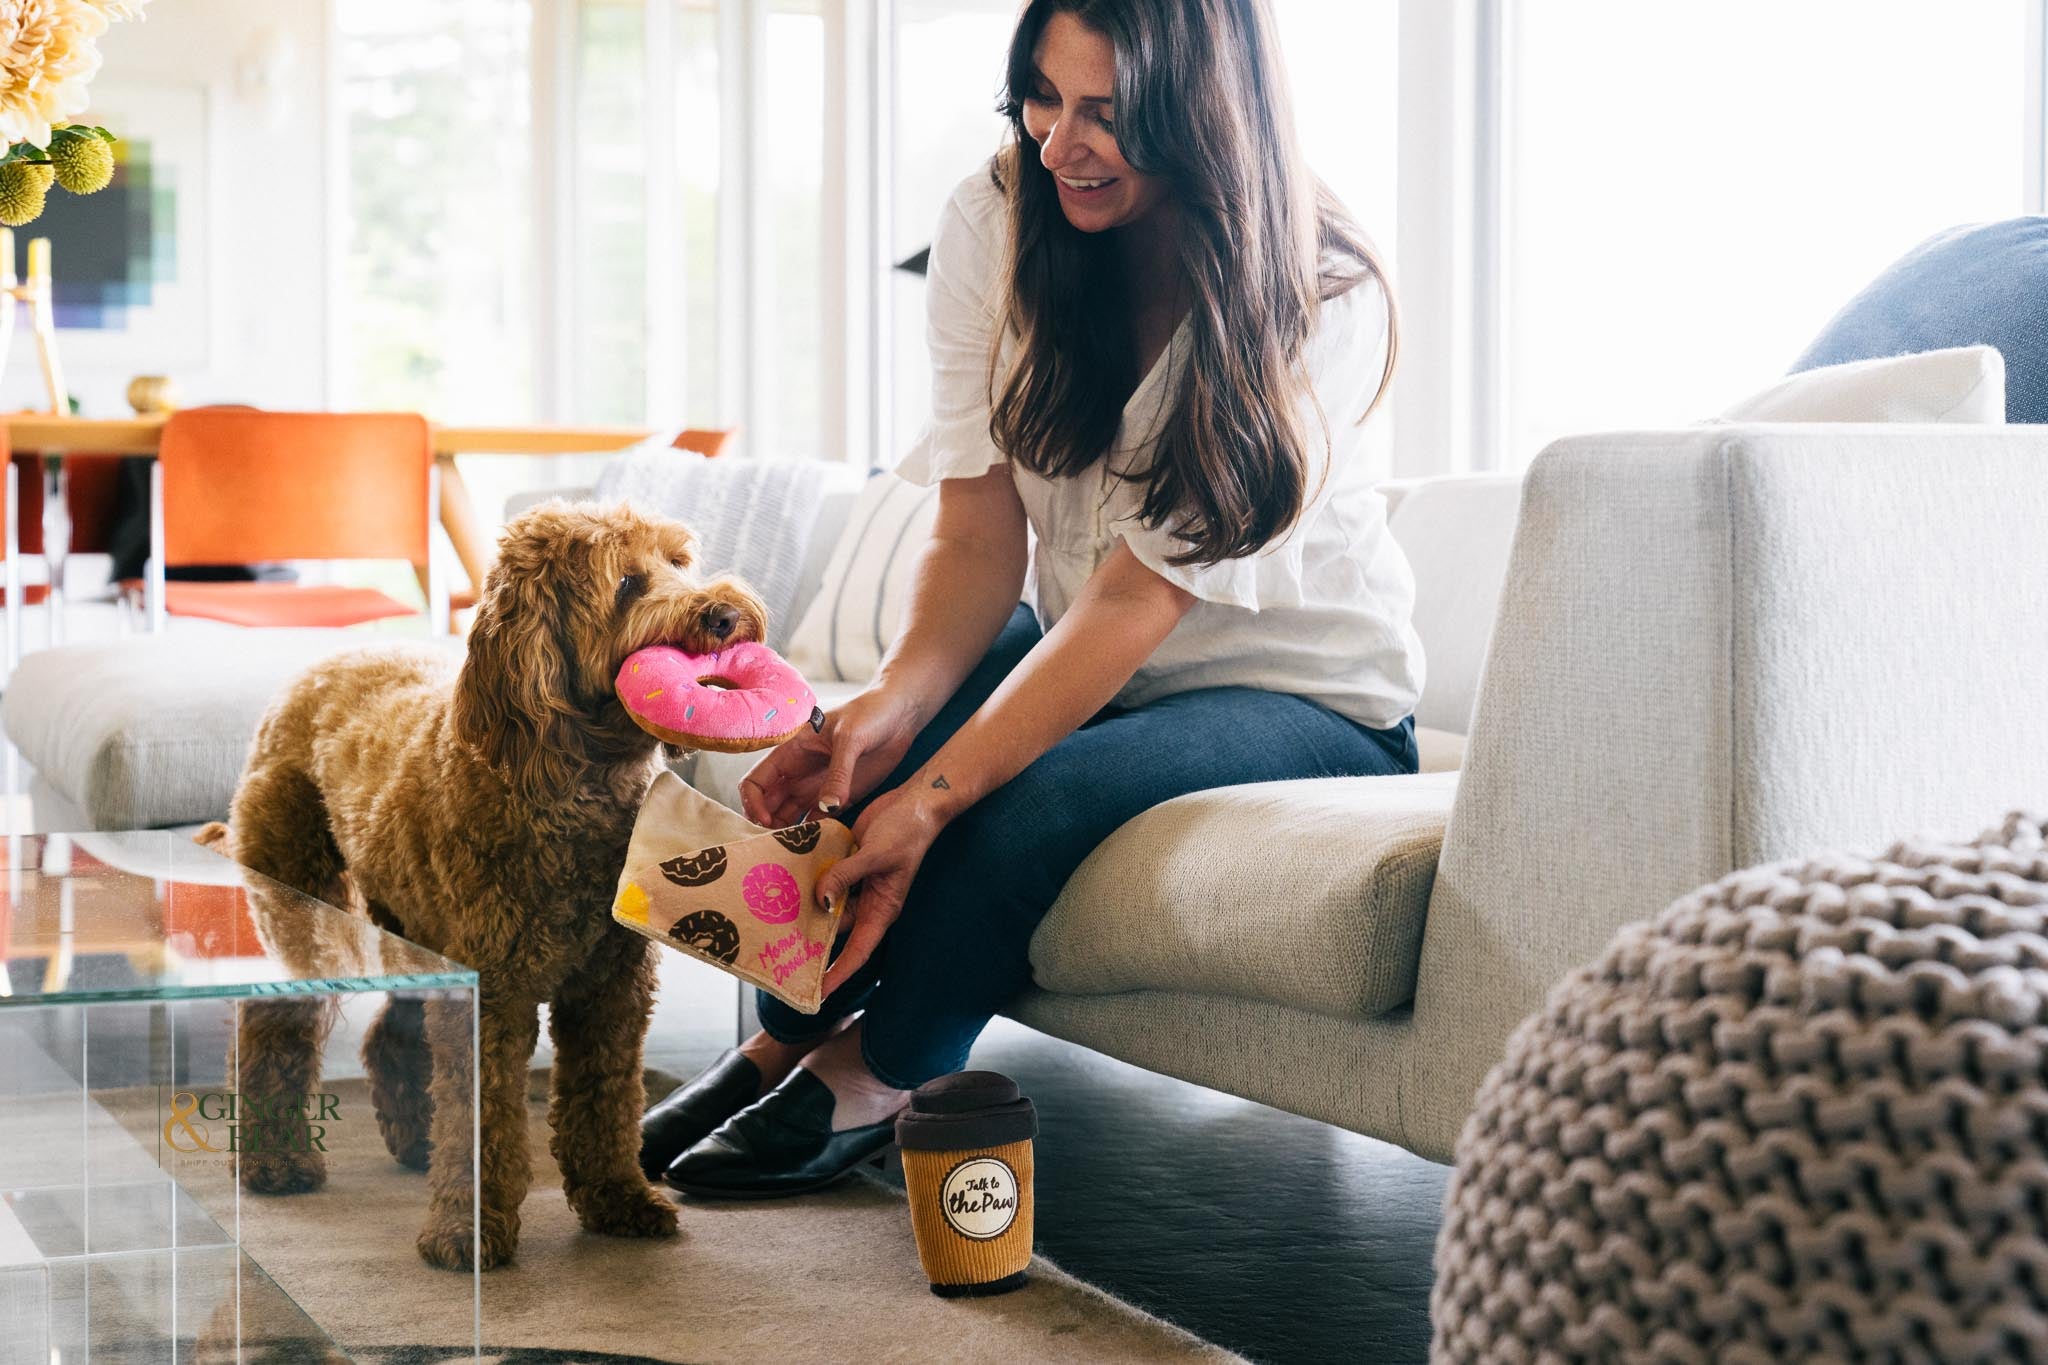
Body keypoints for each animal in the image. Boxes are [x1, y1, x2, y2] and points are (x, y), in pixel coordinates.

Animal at [220, 499, 770, 1268]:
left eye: (678, 562)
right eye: (627, 582)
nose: (724, 614)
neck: (568, 781)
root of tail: (330, 659)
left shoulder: (612, 989)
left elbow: (605, 1100)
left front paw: (618, 1200)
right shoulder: (494, 992)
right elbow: (481, 1111)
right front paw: (468, 1229)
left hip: (415, 924)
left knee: (393, 1030)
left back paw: (415, 1139)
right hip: (308, 907)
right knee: (273, 1021)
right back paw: (275, 1161)